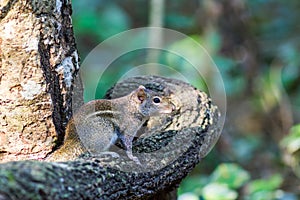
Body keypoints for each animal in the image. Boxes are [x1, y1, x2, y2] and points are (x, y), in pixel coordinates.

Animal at [45, 85, 175, 164]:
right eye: (156, 100)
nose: (173, 108)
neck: (132, 107)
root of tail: (73, 139)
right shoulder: (128, 128)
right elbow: (127, 144)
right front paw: (132, 157)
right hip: (104, 130)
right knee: (93, 152)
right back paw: (108, 153)